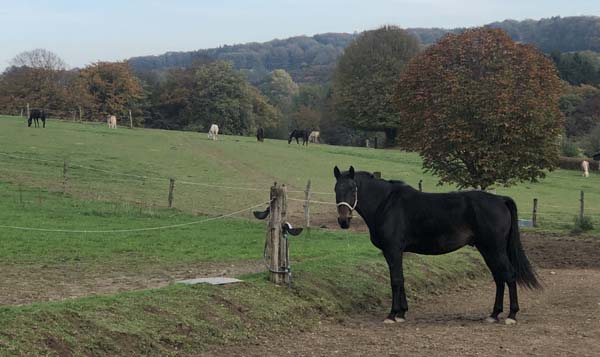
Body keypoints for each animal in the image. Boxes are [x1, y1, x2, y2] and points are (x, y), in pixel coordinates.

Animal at [332, 165, 540, 324]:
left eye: (352, 189)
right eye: (336, 189)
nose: (343, 221)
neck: (386, 203)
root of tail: (500, 200)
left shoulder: (392, 250)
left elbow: (396, 280)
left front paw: (392, 315)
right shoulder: (397, 252)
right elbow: (402, 278)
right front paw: (402, 313)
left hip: (494, 249)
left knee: (509, 276)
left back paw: (511, 315)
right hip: (487, 250)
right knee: (499, 278)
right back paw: (494, 314)